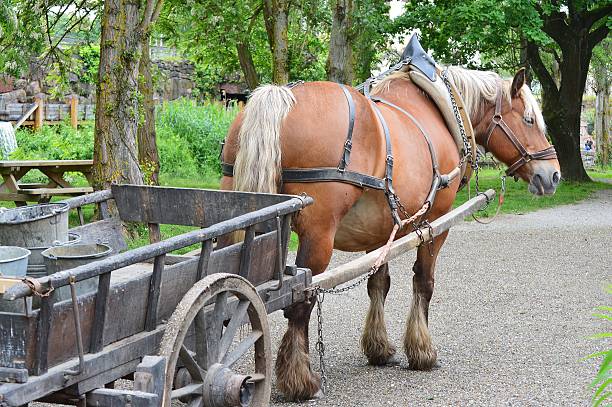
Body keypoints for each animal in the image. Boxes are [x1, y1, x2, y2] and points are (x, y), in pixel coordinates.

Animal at [220, 67, 560, 402]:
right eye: (529, 119)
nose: (553, 174)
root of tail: (282, 95)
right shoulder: (436, 223)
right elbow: (424, 282)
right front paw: (422, 351)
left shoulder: (380, 230)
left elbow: (378, 285)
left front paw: (378, 348)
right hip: (318, 237)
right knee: (300, 300)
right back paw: (300, 381)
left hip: (236, 220)